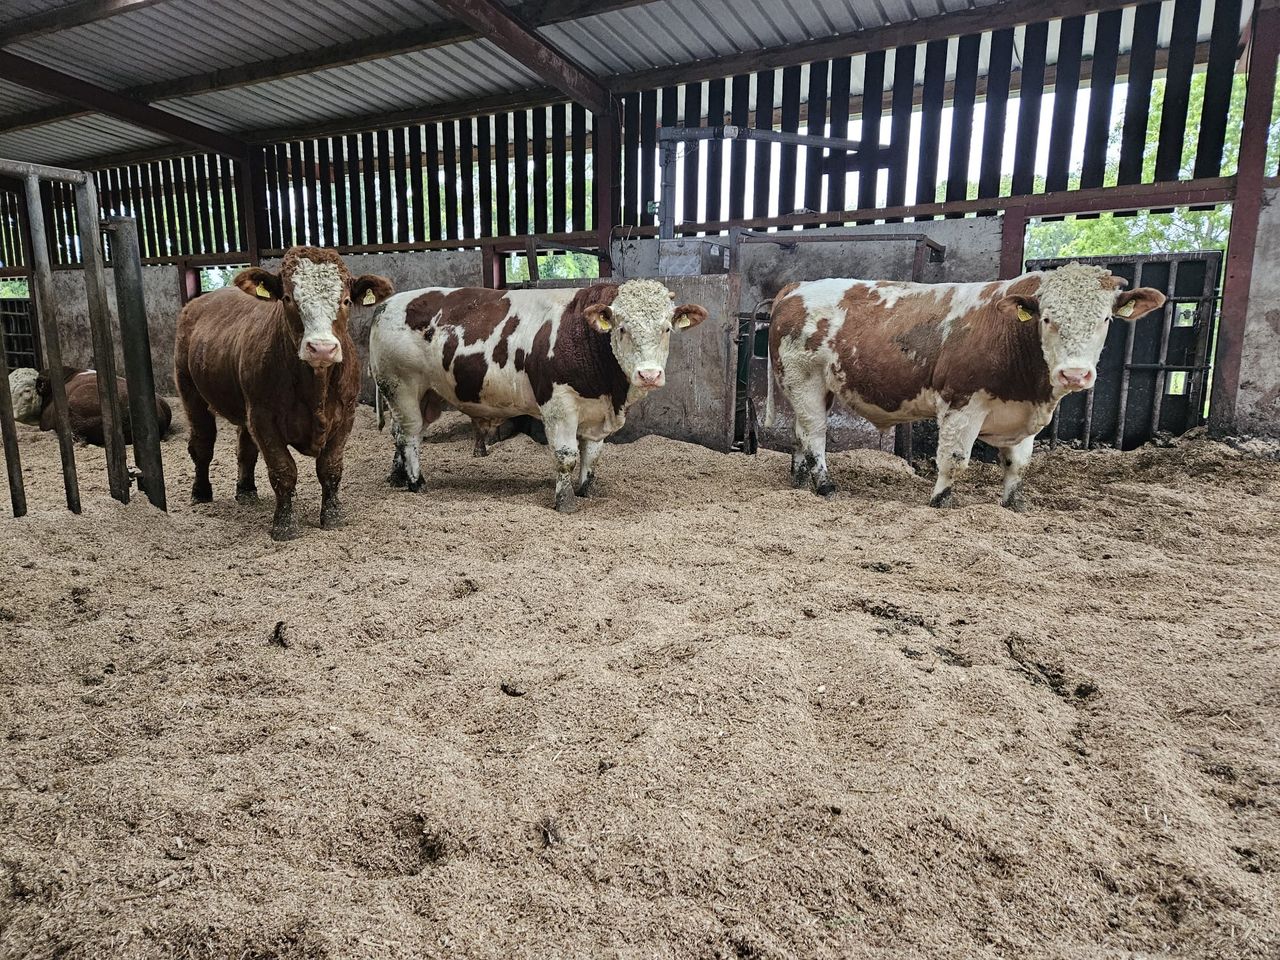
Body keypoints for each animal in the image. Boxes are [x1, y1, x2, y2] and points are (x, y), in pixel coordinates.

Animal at [174, 246, 393, 540]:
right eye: (288, 298)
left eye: (346, 301)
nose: (322, 348)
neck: (315, 387)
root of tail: (199, 302)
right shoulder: (263, 418)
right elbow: (283, 470)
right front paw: (284, 525)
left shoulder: (346, 413)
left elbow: (330, 467)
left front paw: (333, 516)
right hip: (191, 392)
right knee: (202, 444)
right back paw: (200, 492)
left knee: (245, 449)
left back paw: (246, 491)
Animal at [369, 280, 707, 512]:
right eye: (622, 328)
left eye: (666, 329)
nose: (649, 374)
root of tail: (388, 304)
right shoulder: (559, 405)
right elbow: (566, 456)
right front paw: (565, 501)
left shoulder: (596, 414)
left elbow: (592, 456)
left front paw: (586, 491)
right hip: (401, 386)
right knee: (410, 435)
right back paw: (416, 482)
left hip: (425, 396)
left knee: (400, 433)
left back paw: (397, 477)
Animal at [766, 263, 1166, 510]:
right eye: (1047, 319)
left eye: (1105, 319)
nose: (1074, 374)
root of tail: (797, 287)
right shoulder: (962, 402)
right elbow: (955, 460)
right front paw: (940, 502)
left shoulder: (1022, 413)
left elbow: (1018, 465)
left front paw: (1013, 506)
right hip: (803, 379)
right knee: (815, 435)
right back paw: (824, 485)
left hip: (815, 387)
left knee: (800, 433)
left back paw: (800, 482)